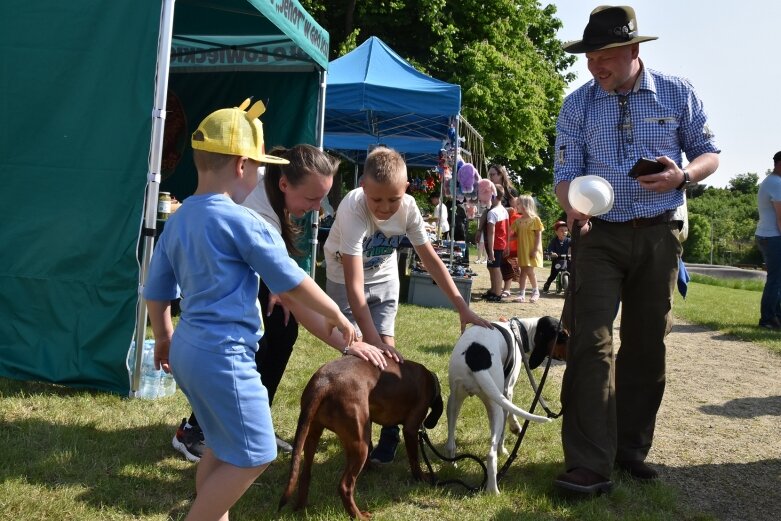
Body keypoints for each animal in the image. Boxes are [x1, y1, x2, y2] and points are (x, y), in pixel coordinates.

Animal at [278, 356, 438, 516]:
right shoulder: (411, 429)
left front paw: (369, 468)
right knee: (345, 486)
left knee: (305, 475)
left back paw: (300, 508)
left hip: (313, 435)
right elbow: (414, 459)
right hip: (360, 444)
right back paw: (359, 516)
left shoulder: (368, 422)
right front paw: (421, 477)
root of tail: (324, 383)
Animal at [444, 314, 568, 494]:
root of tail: (475, 360)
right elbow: (509, 415)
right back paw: (493, 490)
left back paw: (452, 465)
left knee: (450, 444)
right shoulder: (506, 391)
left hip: (453, 402)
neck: (520, 331)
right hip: (495, 404)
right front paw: (511, 435)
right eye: (564, 335)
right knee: (491, 454)